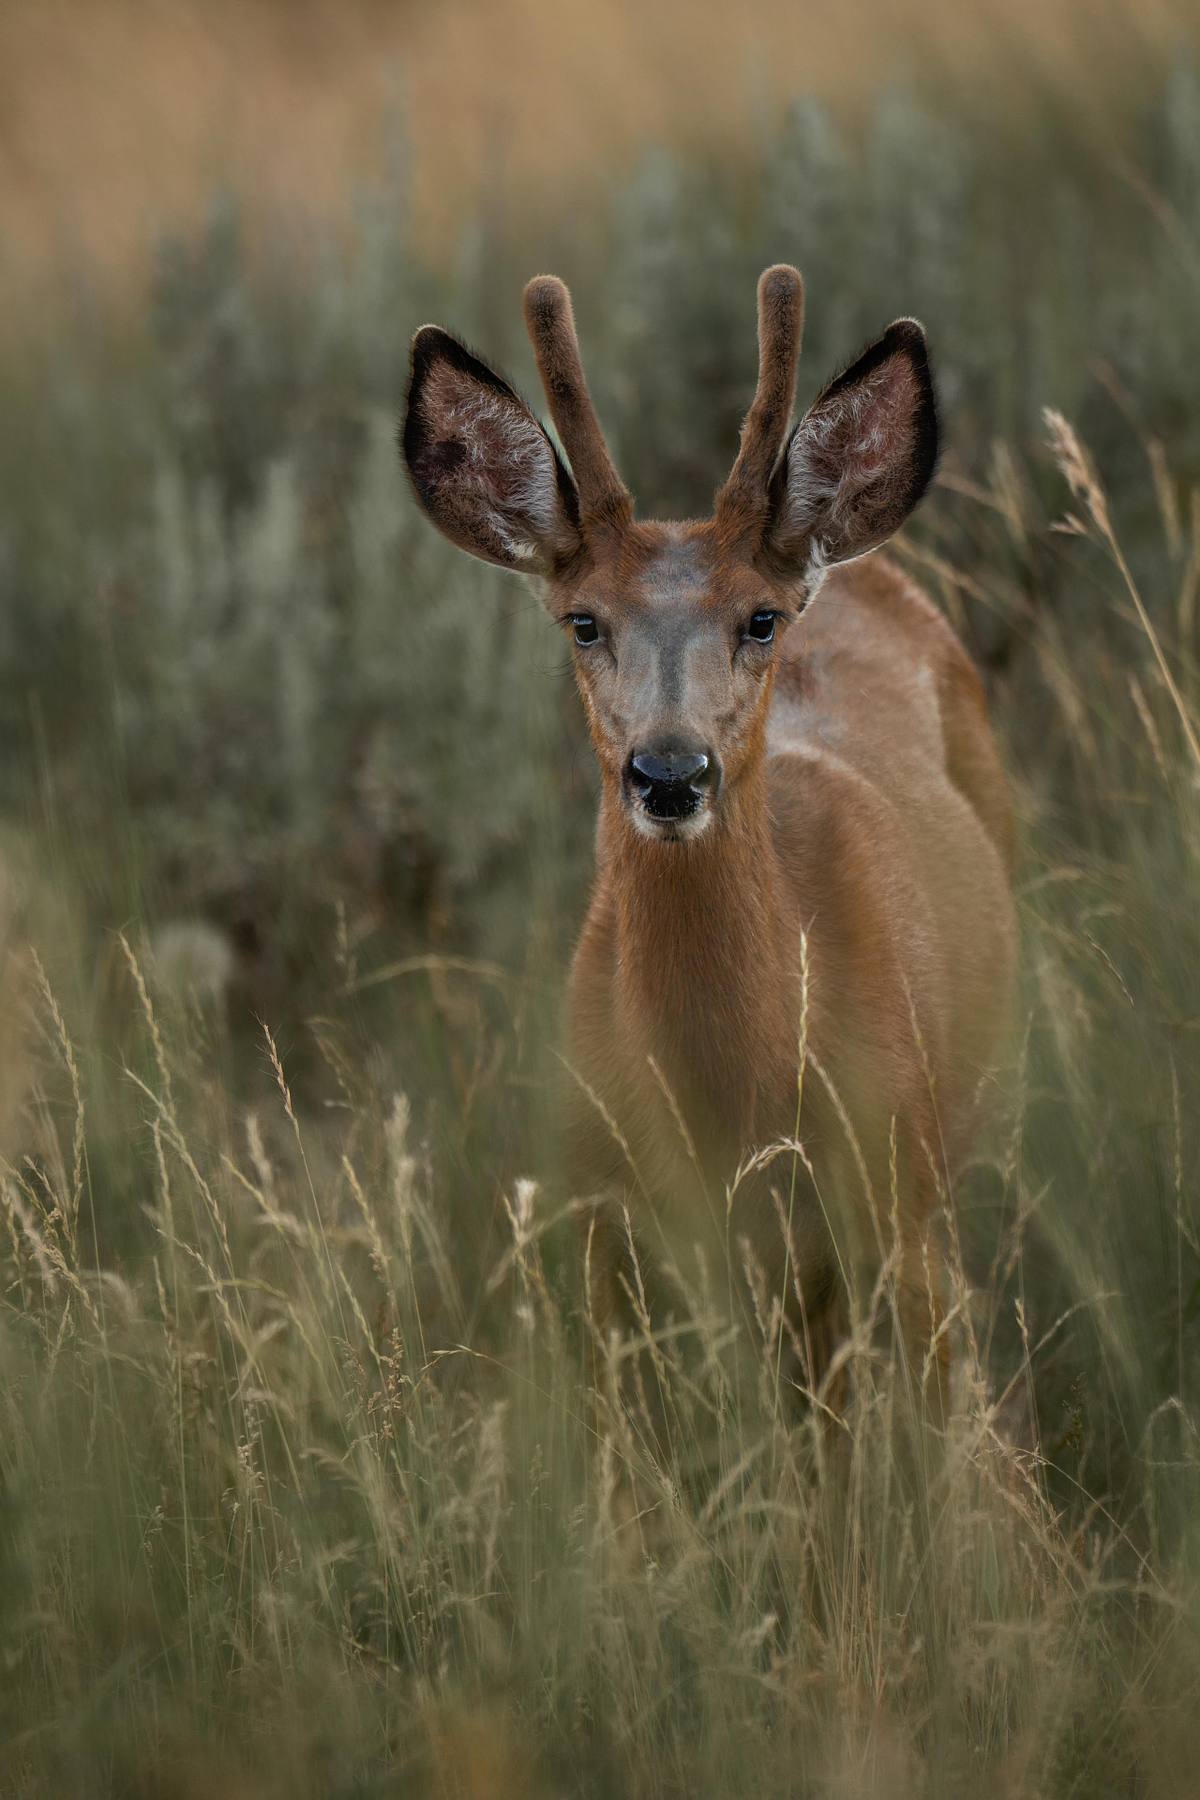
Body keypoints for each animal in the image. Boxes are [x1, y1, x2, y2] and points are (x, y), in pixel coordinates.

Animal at [401, 265, 1015, 1413]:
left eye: (760, 619)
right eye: (584, 621)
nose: (670, 776)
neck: (730, 1109)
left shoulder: (899, 1205)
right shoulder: (602, 1231)